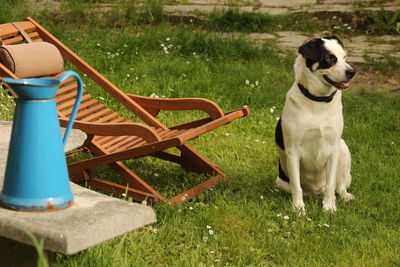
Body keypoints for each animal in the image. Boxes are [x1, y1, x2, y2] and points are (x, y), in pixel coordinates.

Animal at [276, 36, 356, 216]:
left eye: (345, 57)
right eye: (329, 59)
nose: (352, 72)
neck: (318, 101)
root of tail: (316, 190)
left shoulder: (333, 149)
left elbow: (331, 184)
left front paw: (329, 206)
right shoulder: (293, 151)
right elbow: (296, 186)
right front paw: (298, 208)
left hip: (343, 149)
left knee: (339, 185)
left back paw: (344, 196)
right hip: (280, 181)